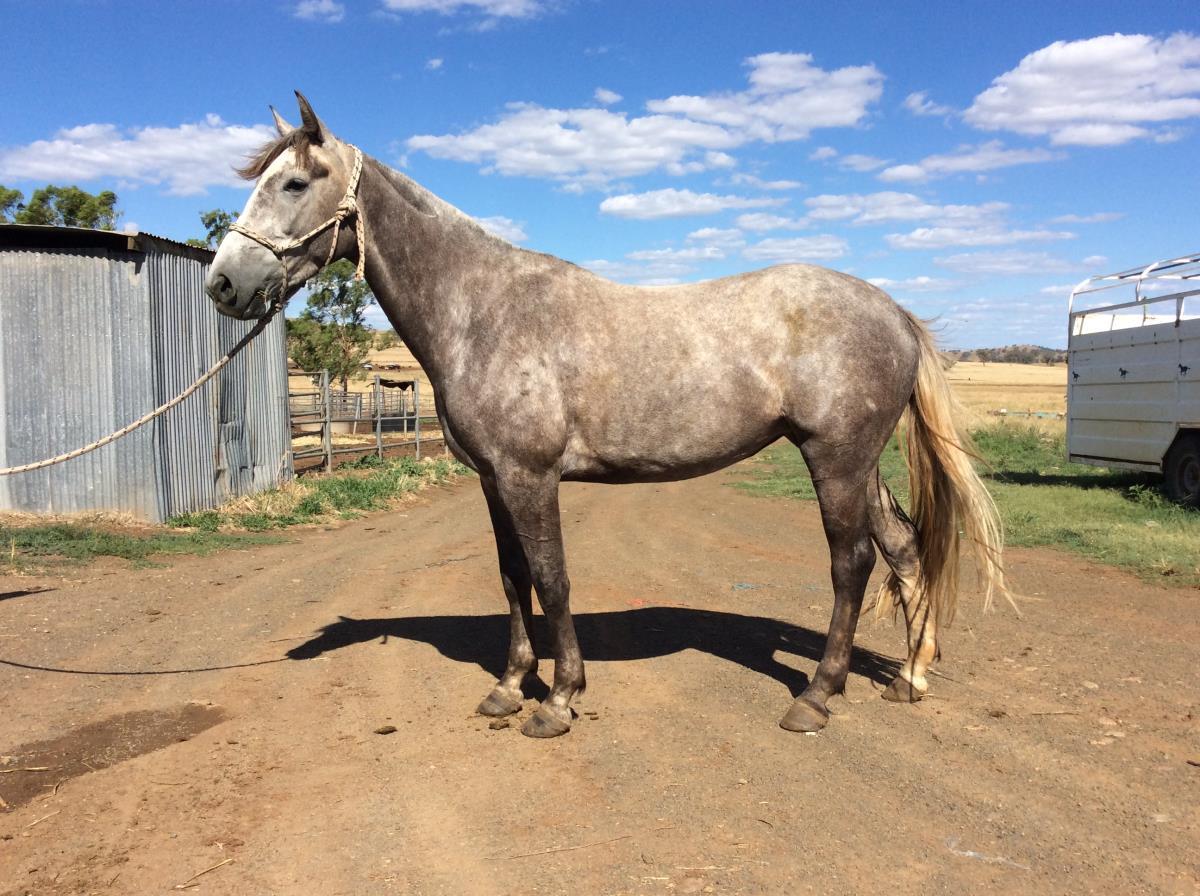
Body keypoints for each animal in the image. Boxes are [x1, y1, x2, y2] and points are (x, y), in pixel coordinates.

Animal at [207, 92, 1005, 738]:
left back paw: (815, 697)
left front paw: (559, 700)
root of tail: (894, 312)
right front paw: (508, 688)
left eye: (294, 183)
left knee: (852, 564)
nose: (222, 284)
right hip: (857, 464)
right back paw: (910, 677)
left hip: (835, 459)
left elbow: (552, 577)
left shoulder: (531, 477)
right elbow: (513, 578)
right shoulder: (494, 480)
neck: (483, 308)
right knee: (903, 548)